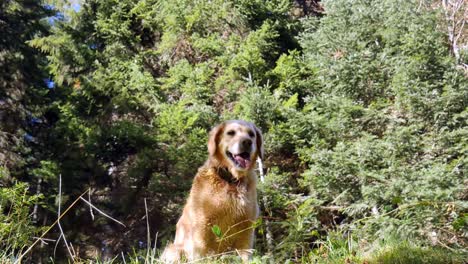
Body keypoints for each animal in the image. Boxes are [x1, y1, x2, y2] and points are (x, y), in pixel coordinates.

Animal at [161, 119, 264, 262]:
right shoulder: (202, 224)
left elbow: (245, 255)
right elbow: (201, 252)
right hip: (174, 250)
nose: (247, 142)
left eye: (251, 134)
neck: (231, 180)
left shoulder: (247, 227)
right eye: (231, 133)